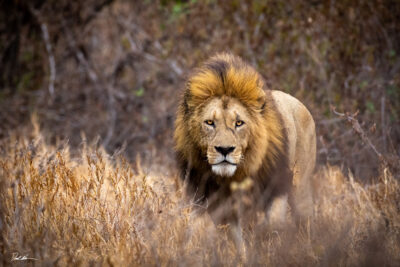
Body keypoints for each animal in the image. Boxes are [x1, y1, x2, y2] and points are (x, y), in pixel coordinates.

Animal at [174, 52, 316, 228]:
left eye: (239, 123)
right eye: (209, 122)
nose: (225, 149)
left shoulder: (277, 187)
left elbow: (274, 223)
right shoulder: (203, 198)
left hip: (301, 187)